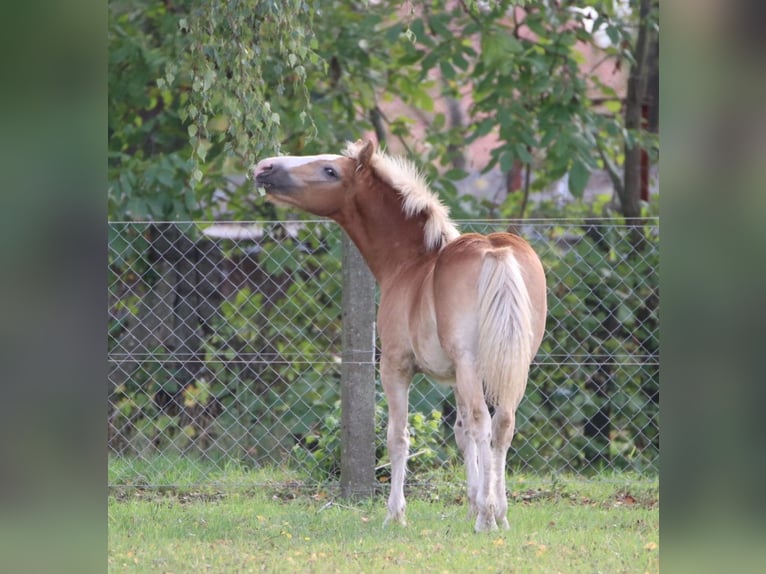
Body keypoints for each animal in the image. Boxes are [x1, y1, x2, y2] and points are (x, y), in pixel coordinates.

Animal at [255, 141, 548, 536]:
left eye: (330, 170)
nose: (264, 168)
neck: (411, 262)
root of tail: (496, 251)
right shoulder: (456, 376)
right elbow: (461, 436)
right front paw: (474, 503)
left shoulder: (396, 367)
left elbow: (398, 437)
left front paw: (395, 513)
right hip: (513, 367)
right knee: (501, 426)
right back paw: (498, 514)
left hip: (473, 365)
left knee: (483, 424)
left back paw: (487, 518)